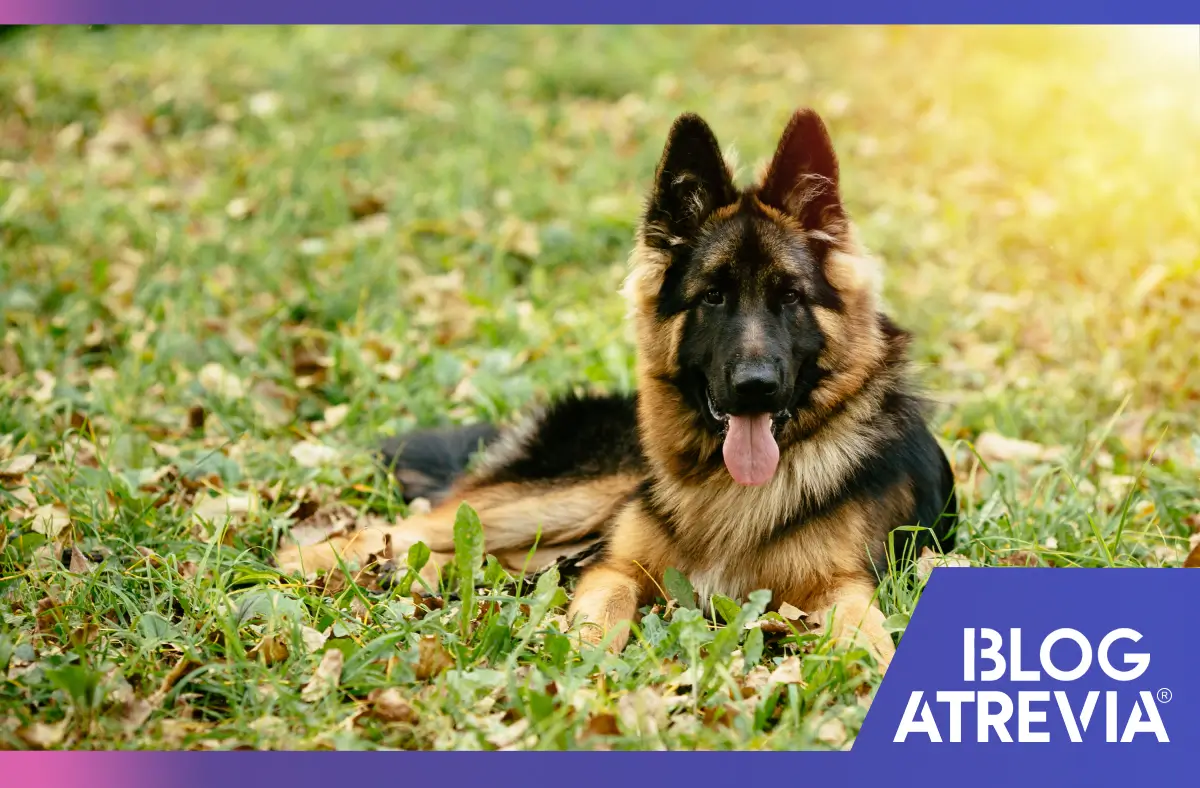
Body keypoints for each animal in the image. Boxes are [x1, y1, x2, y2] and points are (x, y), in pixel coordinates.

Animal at [274, 107, 955, 666]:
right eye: (713, 296)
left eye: (789, 297)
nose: (755, 387)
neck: (726, 492)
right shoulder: (617, 566)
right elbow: (600, 618)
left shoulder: (842, 585)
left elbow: (867, 632)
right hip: (570, 499)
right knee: (407, 529)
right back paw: (307, 560)